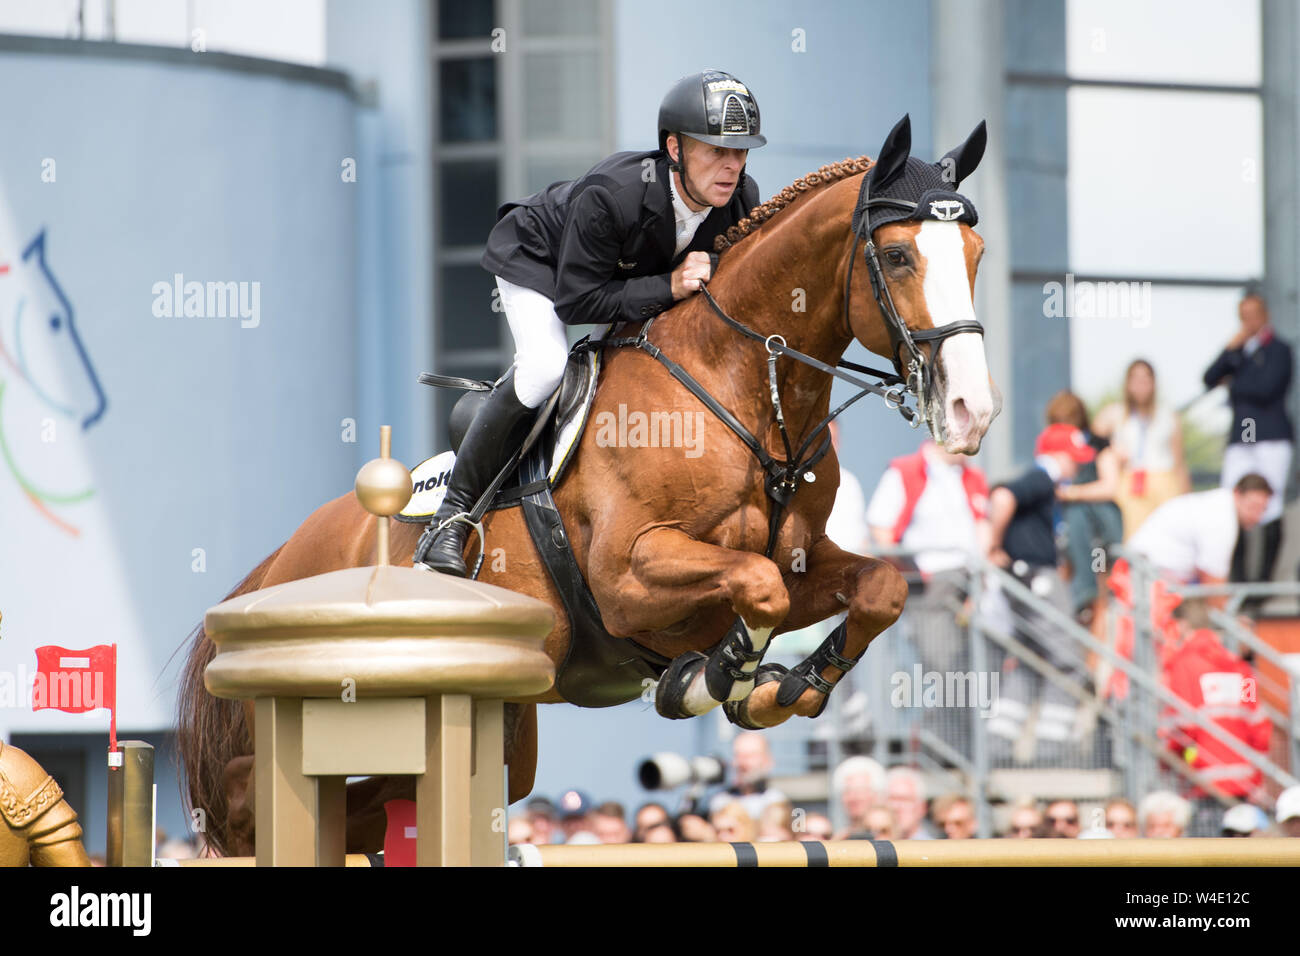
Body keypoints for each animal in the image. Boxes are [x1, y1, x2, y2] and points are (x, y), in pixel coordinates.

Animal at [178, 115, 998, 858]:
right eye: (896, 254)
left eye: (977, 253)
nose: (972, 410)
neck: (741, 388)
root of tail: (282, 560)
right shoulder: (627, 576)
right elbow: (756, 588)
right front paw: (713, 681)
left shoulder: (801, 563)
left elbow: (878, 587)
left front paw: (787, 687)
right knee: (253, 794)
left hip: (496, 736)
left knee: (377, 804)